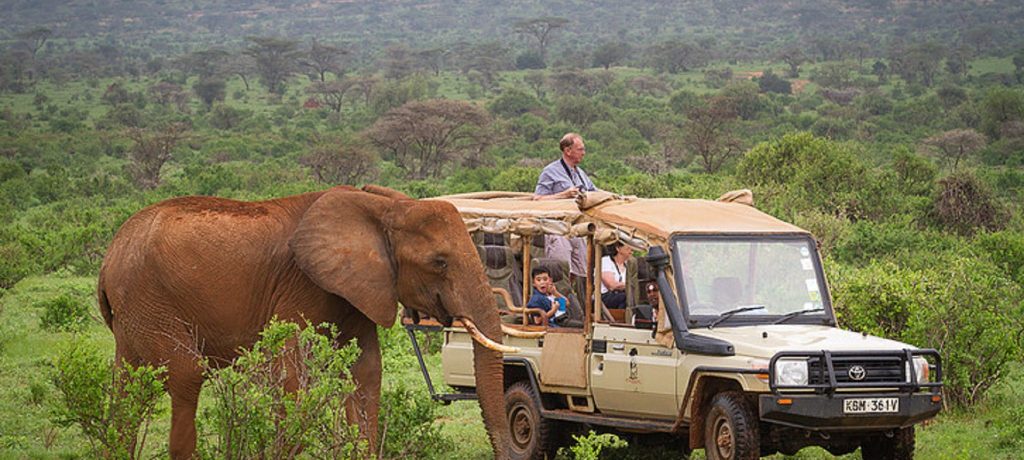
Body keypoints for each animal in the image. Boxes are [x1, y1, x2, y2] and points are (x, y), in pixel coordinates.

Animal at [97, 184, 512, 456]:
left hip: (134, 311)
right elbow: (293, 374)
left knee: (126, 386)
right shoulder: (301, 285)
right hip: (149, 298)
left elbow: (366, 372)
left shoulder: (358, 289)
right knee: (186, 375)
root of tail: (110, 253)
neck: (383, 208)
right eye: (439, 262)